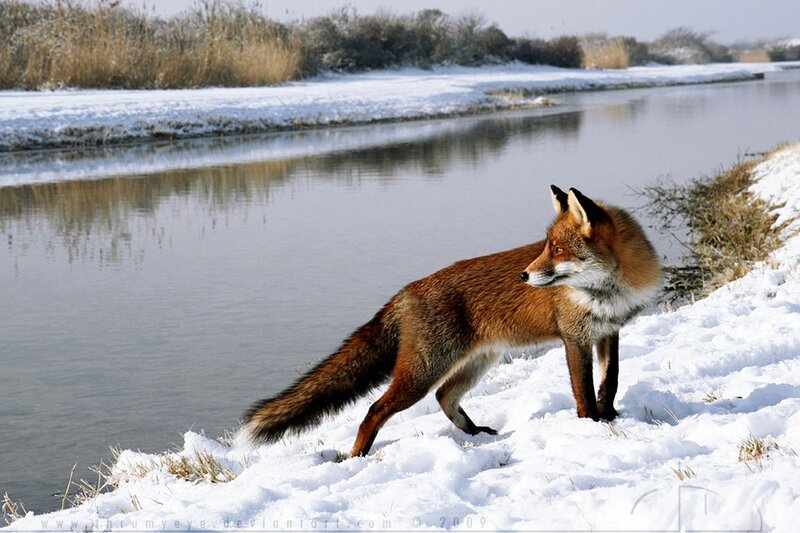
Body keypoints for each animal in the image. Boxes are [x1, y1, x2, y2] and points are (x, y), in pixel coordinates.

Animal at [245, 185, 662, 457]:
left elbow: (610, 383)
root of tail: (407, 290)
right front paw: (591, 426)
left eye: (558, 250)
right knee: (375, 409)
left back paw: (476, 433)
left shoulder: (609, 333)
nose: (524, 276)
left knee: (445, 396)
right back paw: (356, 458)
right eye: (546, 248)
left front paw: (611, 417)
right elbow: (584, 393)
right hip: (425, 370)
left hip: (476, 361)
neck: (608, 290)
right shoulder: (574, 338)